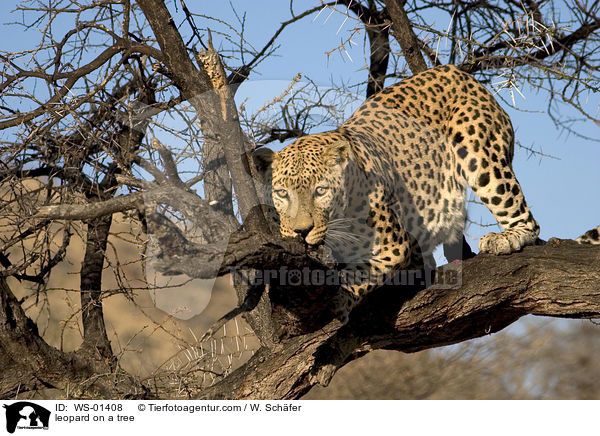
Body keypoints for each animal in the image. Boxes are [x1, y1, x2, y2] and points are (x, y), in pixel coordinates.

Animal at [251, 65, 540, 324]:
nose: (301, 231)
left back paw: (505, 238)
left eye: (320, 191)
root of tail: (458, 73)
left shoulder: (392, 246)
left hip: (482, 158)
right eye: (282, 193)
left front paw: (339, 299)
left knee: (524, 218)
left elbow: (358, 273)